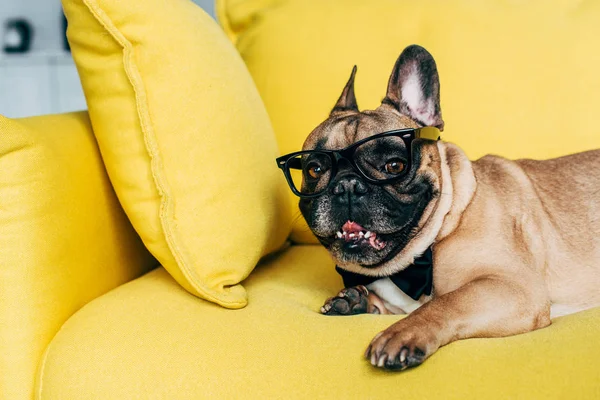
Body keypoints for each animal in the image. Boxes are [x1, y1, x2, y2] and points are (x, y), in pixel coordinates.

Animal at [276, 44, 600, 372]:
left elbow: (447, 302)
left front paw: (402, 333)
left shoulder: (513, 286)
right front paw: (354, 300)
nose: (347, 187)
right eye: (314, 169)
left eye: (394, 165)